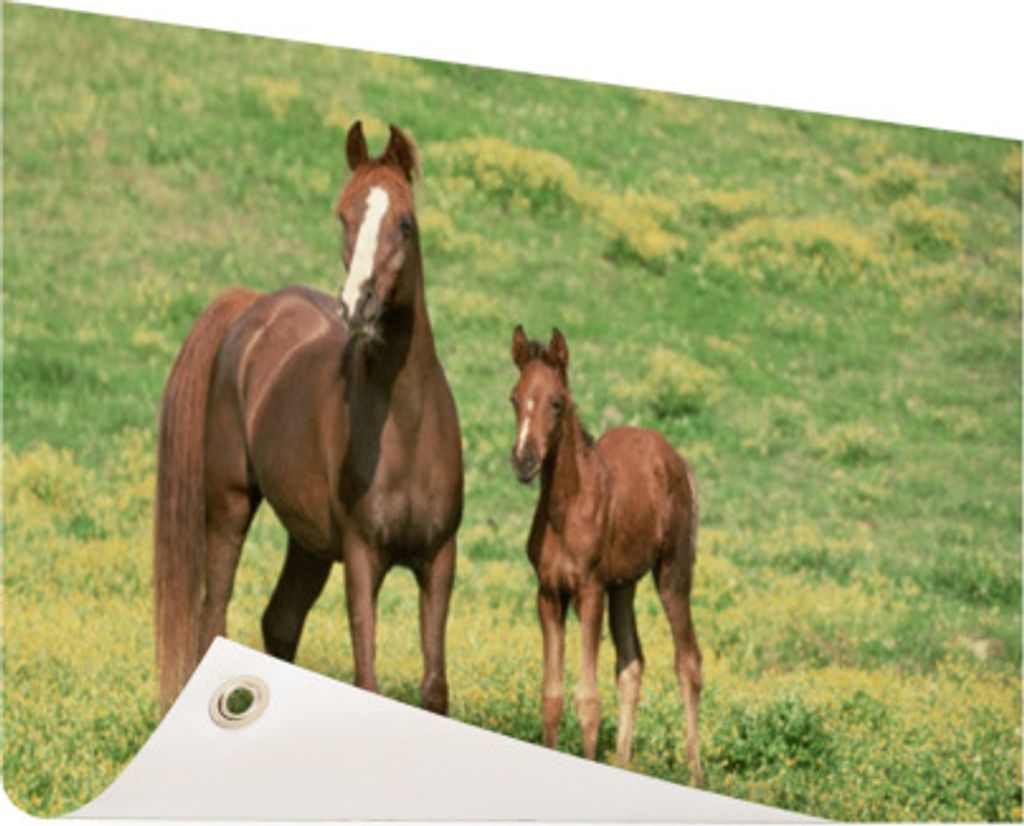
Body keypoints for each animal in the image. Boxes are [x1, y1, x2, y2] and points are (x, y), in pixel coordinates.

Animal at [154, 122, 463, 717]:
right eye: (343, 216)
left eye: (405, 222)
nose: (357, 307)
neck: (407, 428)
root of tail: (253, 307)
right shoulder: (363, 558)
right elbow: (367, 678)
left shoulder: (439, 559)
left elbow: (435, 689)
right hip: (229, 505)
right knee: (213, 617)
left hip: (310, 542)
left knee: (280, 621)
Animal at [508, 325, 703, 786]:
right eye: (514, 397)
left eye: (556, 402)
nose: (524, 460)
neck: (566, 509)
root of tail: (676, 459)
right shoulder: (548, 594)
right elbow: (552, 696)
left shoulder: (589, 591)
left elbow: (588, 700)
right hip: (624, 586)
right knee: (632, 665)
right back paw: (623, 763)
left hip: (672, 574)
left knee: (688, 663)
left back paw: (697, 776)